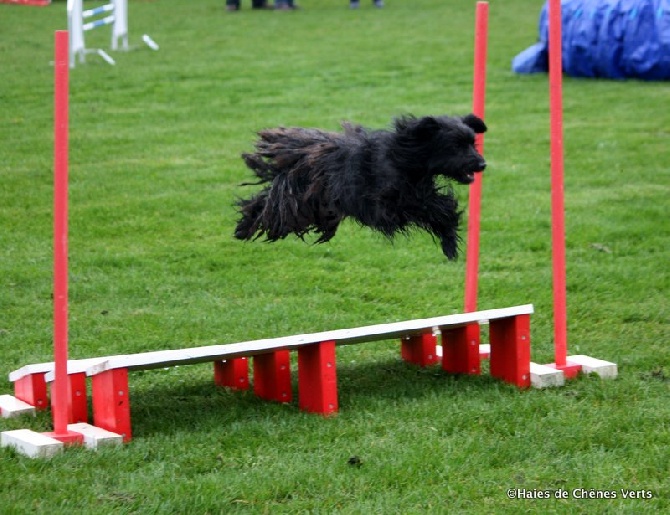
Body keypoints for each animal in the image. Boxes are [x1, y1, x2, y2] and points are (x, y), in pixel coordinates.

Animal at [236, 113, 488, 258]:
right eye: (455, 145)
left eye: (472, 143)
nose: (482, 163)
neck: (404, 158)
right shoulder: (385, 206)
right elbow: (433, 207)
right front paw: (448, 235)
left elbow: (440, 209)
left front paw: (450, 241)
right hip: (296, 200)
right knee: (270, 210)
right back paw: (244, 228)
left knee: (264, 201)